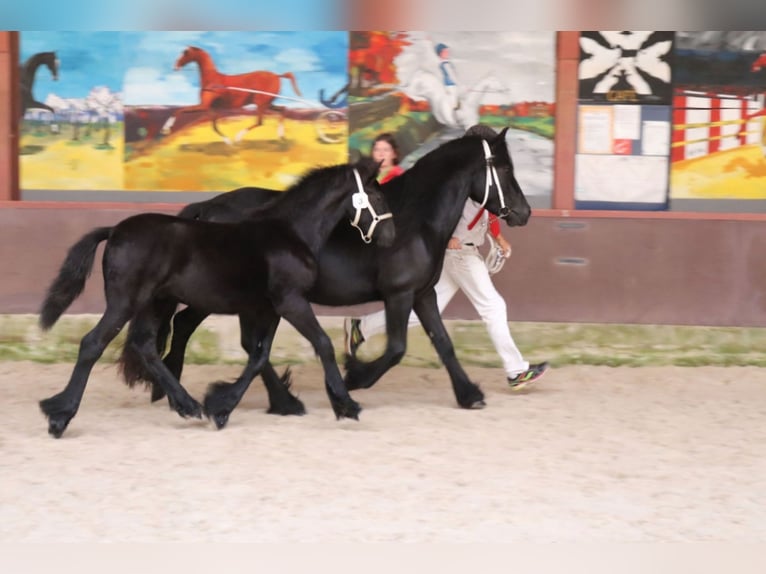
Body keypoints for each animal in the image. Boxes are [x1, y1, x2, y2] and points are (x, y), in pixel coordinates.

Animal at [38, 160, 392, 438]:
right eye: (375, 195)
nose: (391, 236)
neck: (290, 233)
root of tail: (113, 231)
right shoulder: (290, 301)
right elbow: (322, 344)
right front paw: (347, 405)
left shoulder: (268, 308)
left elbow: (258, 355)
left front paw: (220, 407)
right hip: (125, 301)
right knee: (93, 343)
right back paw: (59, 416)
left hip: (153, 302)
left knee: (145, 345)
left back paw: (188, 405)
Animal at [127, 127, 536, 432]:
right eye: (504, 170)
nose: (524, 213)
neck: (414, 221)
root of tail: (206, 208)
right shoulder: (399, 294)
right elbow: (396, 348)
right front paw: (354, 378)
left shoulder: (423, 294)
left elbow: (444, 344)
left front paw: (470, 395)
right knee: (201, 331)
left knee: (198, 329)